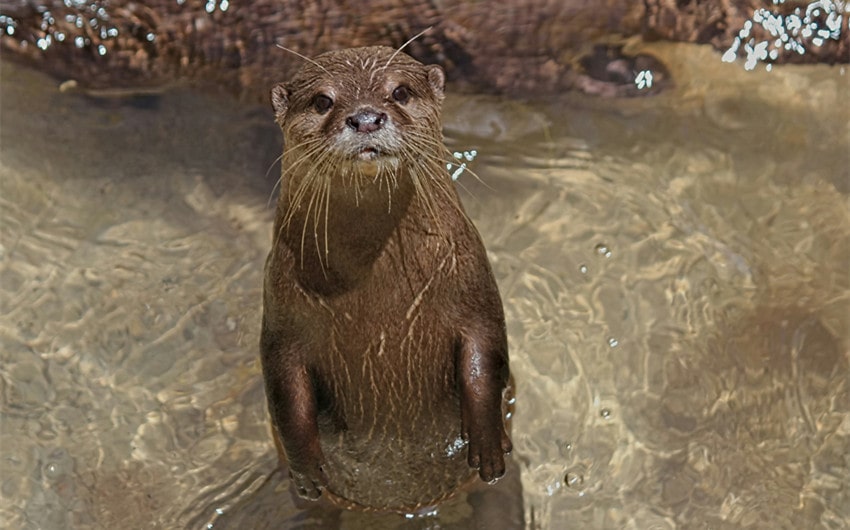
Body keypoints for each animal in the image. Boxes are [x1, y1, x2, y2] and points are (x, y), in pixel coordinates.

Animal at [258, 46, 510, 512]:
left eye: (400, 92)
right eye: (323, 100)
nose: (366, 118)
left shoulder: (474, 283)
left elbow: (486, 356)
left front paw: (488, 446)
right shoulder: (280, 309)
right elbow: (285, 389)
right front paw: (306, 472)